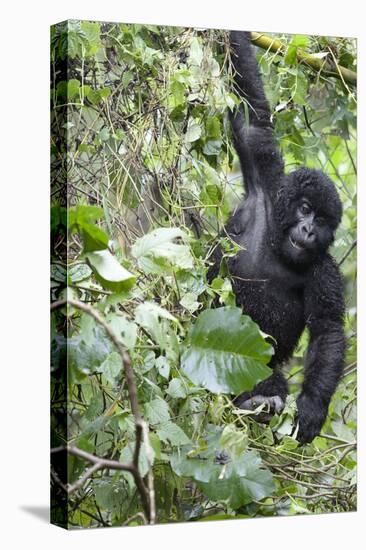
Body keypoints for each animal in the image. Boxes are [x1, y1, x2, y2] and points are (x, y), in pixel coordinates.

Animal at [210, 30, 344, 446]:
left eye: (322, 219)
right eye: (304, 208)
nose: (308, 230)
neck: (276, 241)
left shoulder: (325, 271)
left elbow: (328, 330)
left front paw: (313, 407)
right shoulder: (264, 174)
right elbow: (252, 116)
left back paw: (260, 402)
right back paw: (256, 402)